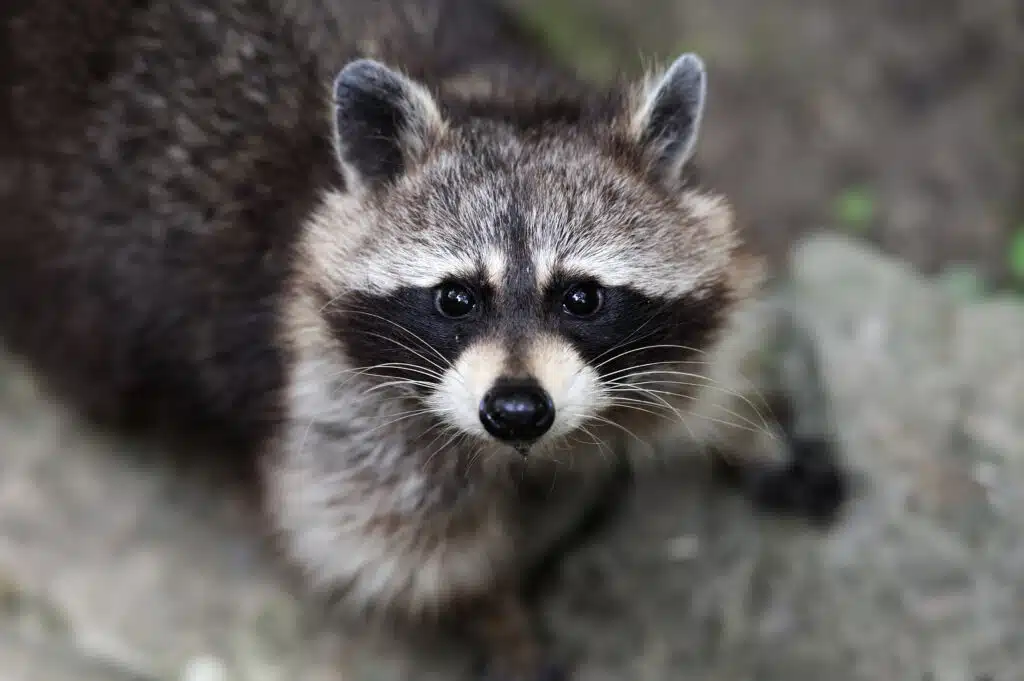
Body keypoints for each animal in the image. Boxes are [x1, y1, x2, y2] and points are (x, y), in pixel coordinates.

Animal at [0, 1, 846, 679]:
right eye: (455, 298)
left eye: (582, 297)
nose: (516, 410)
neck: (497, 98)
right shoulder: (332, 397)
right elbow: (405, 552)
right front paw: (501, 621)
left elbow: (703, 360)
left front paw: (747, 429)